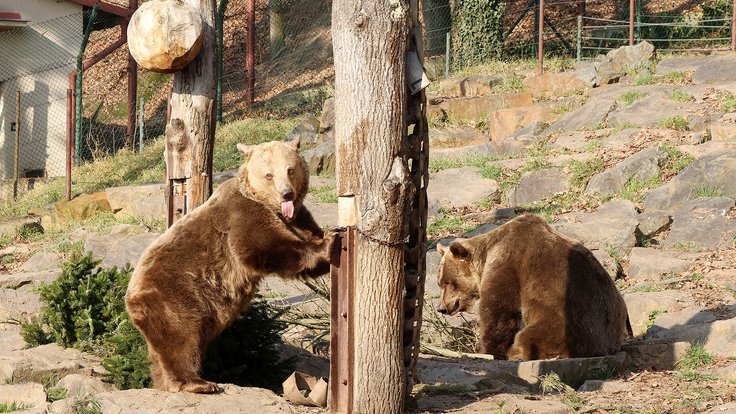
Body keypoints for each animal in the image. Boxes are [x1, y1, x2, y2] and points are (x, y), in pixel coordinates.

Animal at [124, 138, 336, 392]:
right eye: (269, 175)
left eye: (290, 169)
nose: (287, 194)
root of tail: (130, 300)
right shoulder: (242, 216)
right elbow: (266, 248)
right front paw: (329, 243)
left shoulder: (299, 218)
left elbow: (307, 233)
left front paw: (331, 234)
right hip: (174, 295)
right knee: (182, 336)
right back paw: (197, 382)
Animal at [436, 215, 632, 360]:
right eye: (440, 283)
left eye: (447, 282)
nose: (441, 308)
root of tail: (606, 346)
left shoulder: (507, 260)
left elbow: (498, 308)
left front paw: (488, 350)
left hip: (565, 323)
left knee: (531, 337)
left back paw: (515, 351)